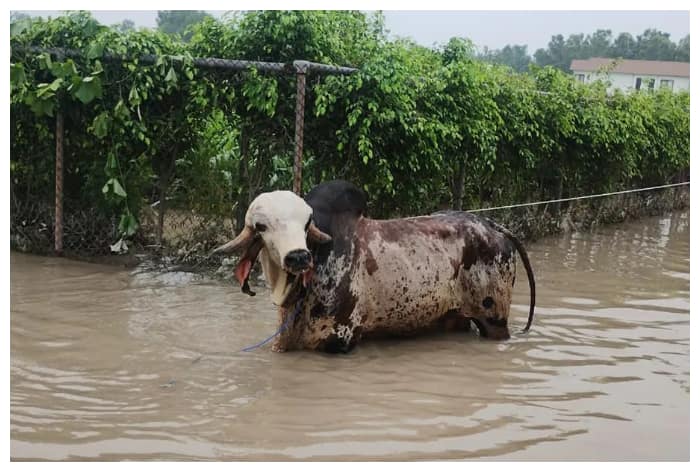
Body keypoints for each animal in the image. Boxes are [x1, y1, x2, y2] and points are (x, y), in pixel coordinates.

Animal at [215, 180, 535, 353]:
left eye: (307, 224)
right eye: (261, 226)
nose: (298, 257)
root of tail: (492, 225)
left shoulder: (339, 341)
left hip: (494, 319)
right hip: (454, 318)